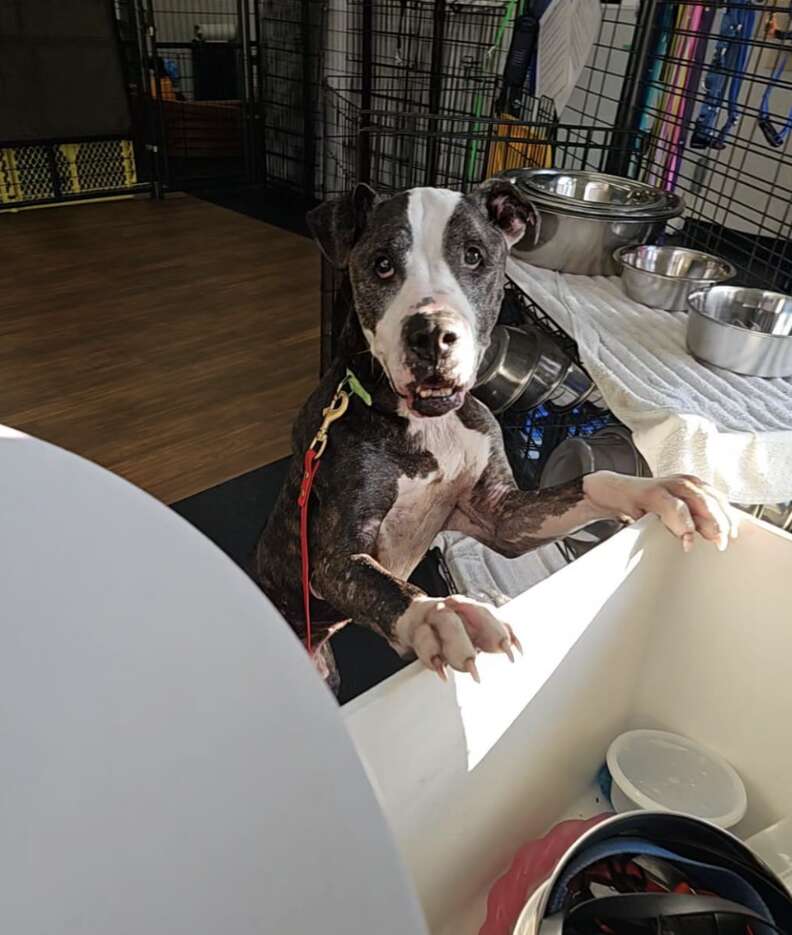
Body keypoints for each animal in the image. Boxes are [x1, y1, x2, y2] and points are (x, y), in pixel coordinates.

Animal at [254, 179, 736, 692]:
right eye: (382, 263)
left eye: (473, 256)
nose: (431, 334)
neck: (431, 423)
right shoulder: (333, 558)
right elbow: (384, 583)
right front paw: (439, 614)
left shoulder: (502, 515)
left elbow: (592, 482)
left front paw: (661, 490)